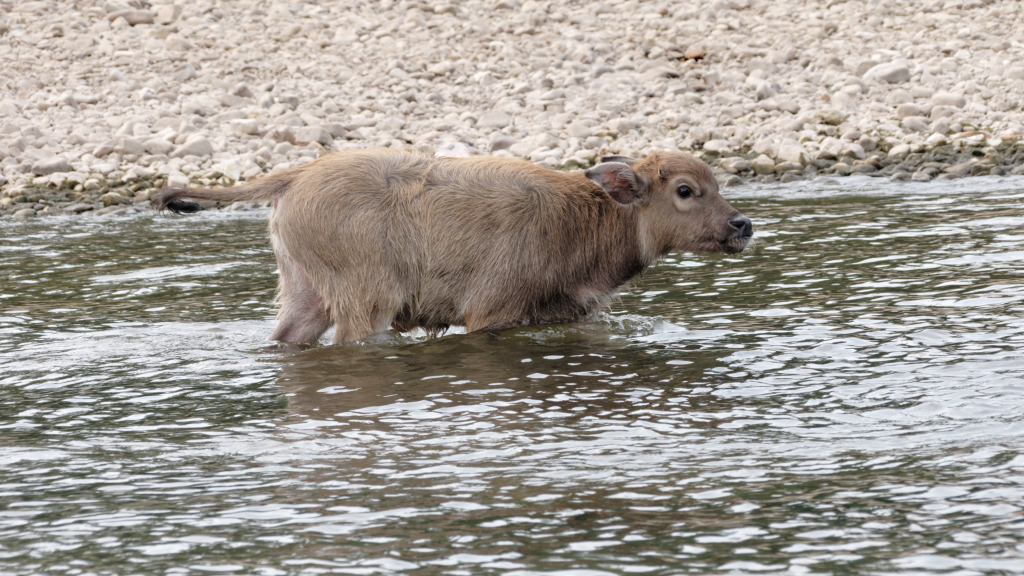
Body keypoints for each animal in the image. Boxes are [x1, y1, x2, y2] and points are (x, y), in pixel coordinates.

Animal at [152, 148, 753, 344]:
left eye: (718, 183)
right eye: (686, 190)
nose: (742, 225)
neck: (583, 224)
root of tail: (296, 176)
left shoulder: (571, 315)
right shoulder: (491, 311)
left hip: (305, 293)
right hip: (364, 299)